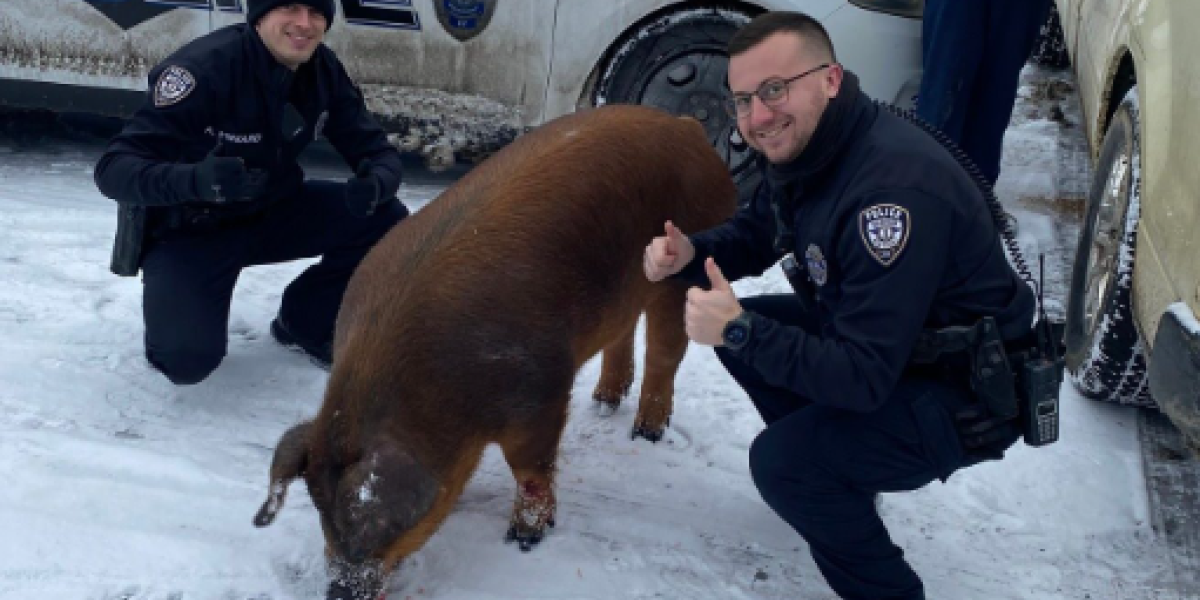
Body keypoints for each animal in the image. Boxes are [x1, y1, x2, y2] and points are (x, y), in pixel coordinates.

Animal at [255, 104, 739, 600]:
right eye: (319, 509)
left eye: (373, 522)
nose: (340, 593)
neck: (438, 394)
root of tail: (685, 126)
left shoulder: (542, 389)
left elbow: (530, 467)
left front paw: (524, 539)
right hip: (622, 290)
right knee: (621, 335)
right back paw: (604, 402)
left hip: (684, 272)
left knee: (666, 352)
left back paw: (646, 432)